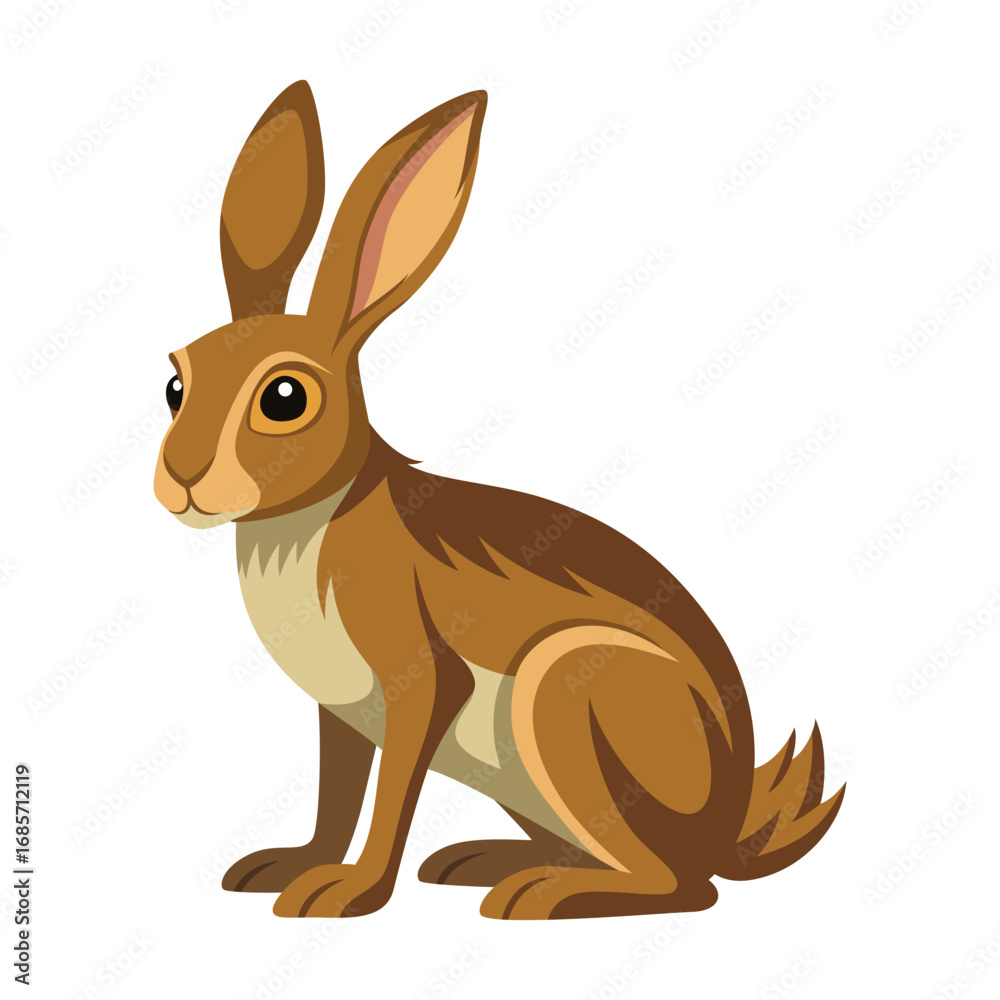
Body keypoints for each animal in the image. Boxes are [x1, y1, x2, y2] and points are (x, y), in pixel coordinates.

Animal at [153, 81, 844, 920]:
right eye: (175, 384)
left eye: (285, 398)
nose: (181, 479)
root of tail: (727, 831)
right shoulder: (340, 714)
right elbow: (336, 798)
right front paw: (289, 866)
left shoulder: (417, 684)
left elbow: (388, 798)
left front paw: (346, 894)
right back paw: (483, 861)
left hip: (565, 695)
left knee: (682, 886)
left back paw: (539, 896)